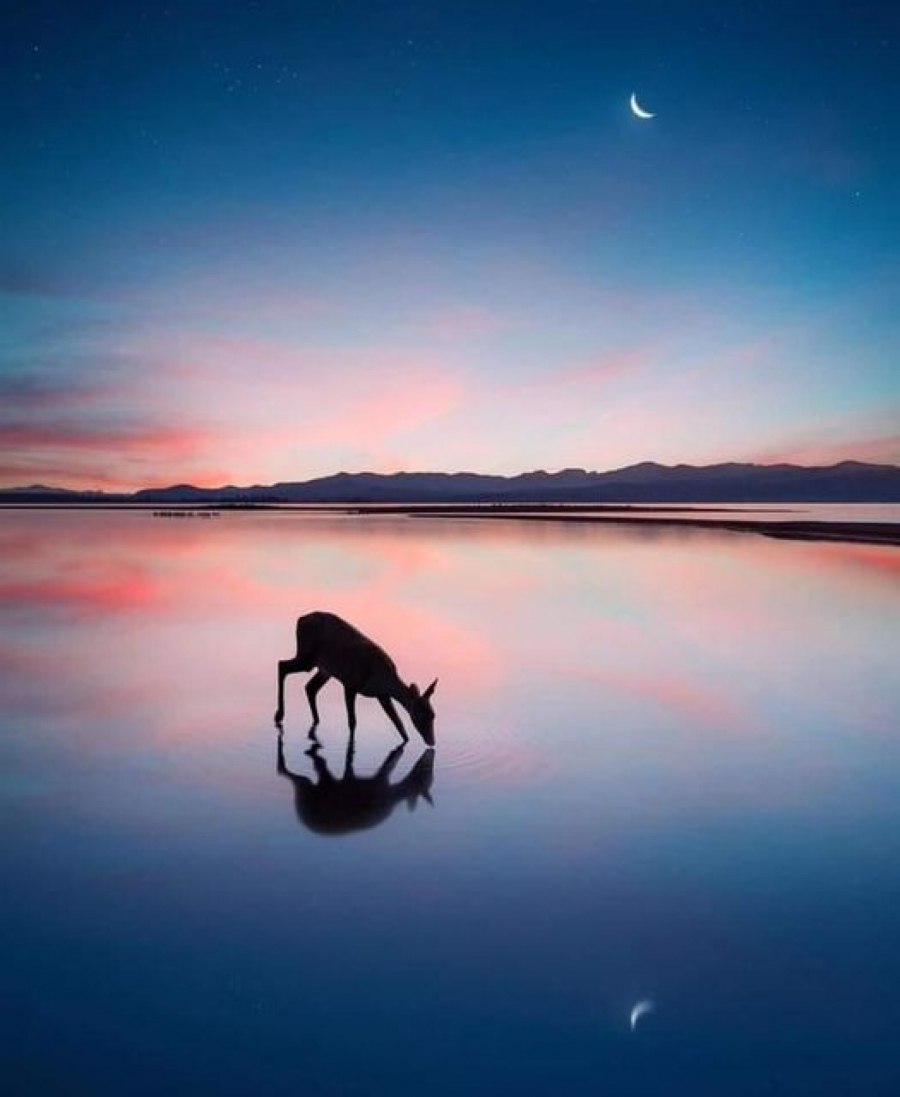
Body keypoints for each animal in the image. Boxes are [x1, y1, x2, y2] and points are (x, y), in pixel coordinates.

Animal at [277, 609, 439, 745]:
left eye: (433, 715)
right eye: (423, 715)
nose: (432, 741)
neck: (383, 679)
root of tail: (300, 619)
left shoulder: (382, 695)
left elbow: (398, 722)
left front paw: (406, 741)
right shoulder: (350, 684)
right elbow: (353, 721)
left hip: (325, 669)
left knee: (310, 687)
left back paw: (316, 720)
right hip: (307, 655)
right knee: (282, 665)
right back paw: (279, 715)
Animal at [277, 732, 439, 833]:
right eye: (425, 780)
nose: (428, 765)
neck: (393, 795)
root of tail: (301, 817)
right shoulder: (380, 782)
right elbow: (391, 764)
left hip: (314, 788)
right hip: (307, 790)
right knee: (295, 775)